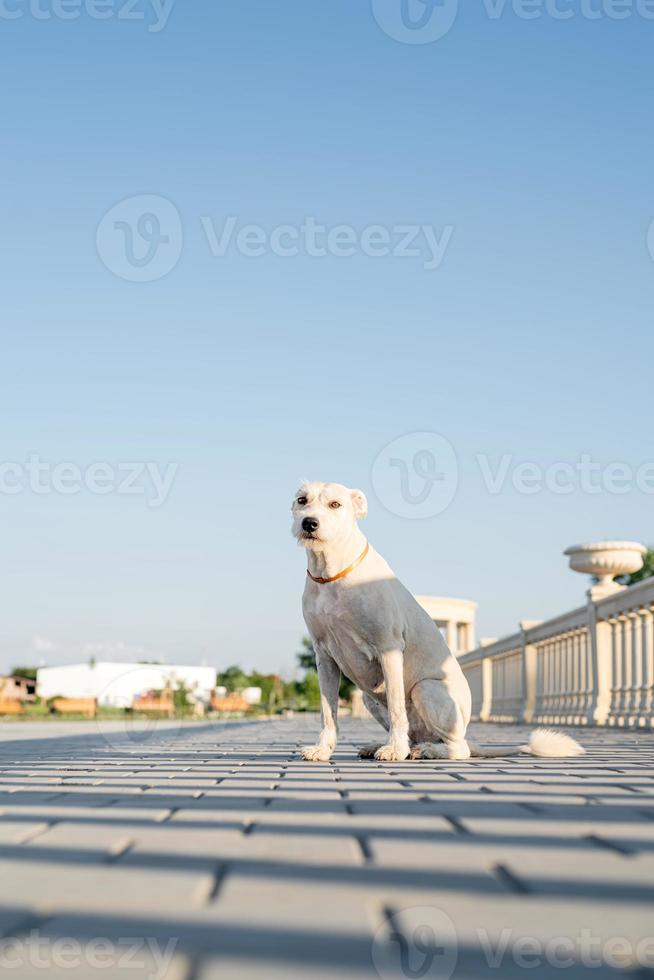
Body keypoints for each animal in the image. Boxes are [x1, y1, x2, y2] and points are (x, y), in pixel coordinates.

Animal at [292, 482, 584, 764]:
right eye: (302, 500)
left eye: (335, 504)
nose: (309, 523)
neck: (330, 572)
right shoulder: (324, 656)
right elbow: (328, 711)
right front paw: (323, 750)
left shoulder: (388, 648)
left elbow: (397, 707)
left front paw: (394, 750)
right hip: (369, 697)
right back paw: (396, 746)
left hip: (426, 689)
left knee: (458, 748)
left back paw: (425, 750)